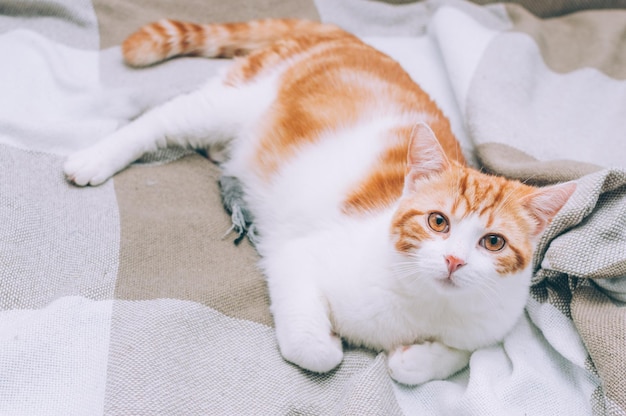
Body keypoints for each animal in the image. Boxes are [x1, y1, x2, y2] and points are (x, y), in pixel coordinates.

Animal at [64, 18, 576, 384]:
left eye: (493, 242)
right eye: (438, 222)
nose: (453, 260)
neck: (424, 304)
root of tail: (345, 36)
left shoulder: (492, 328)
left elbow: (459, 356)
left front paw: (414, 359)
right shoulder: (298, 256)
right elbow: (313, 351)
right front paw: (328, 344)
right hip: (230, 103)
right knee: (161, 119)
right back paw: (94, 158)